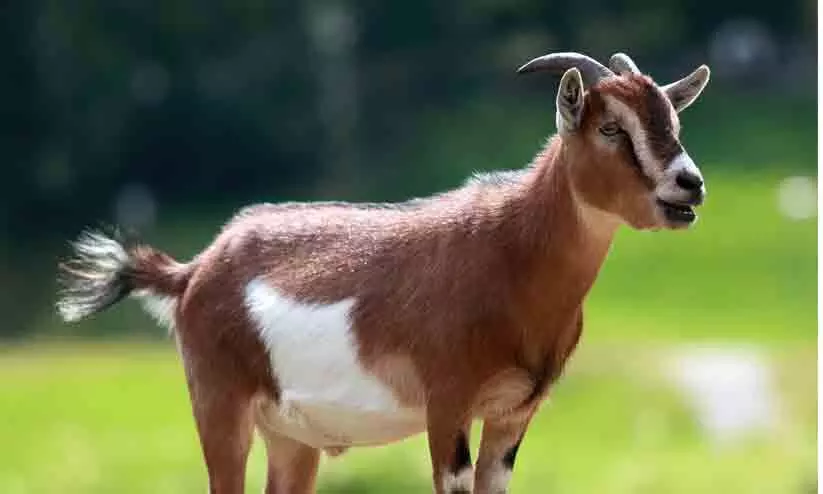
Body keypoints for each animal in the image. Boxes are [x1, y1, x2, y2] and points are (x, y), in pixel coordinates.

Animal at [57, 51, 710, 494]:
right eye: (610, 127)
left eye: (673, 123)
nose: (690, 185)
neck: (509, 253)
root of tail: (193, 271)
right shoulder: (447, 406)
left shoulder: (512, 414)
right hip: (220, 405)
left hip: (290, 437)